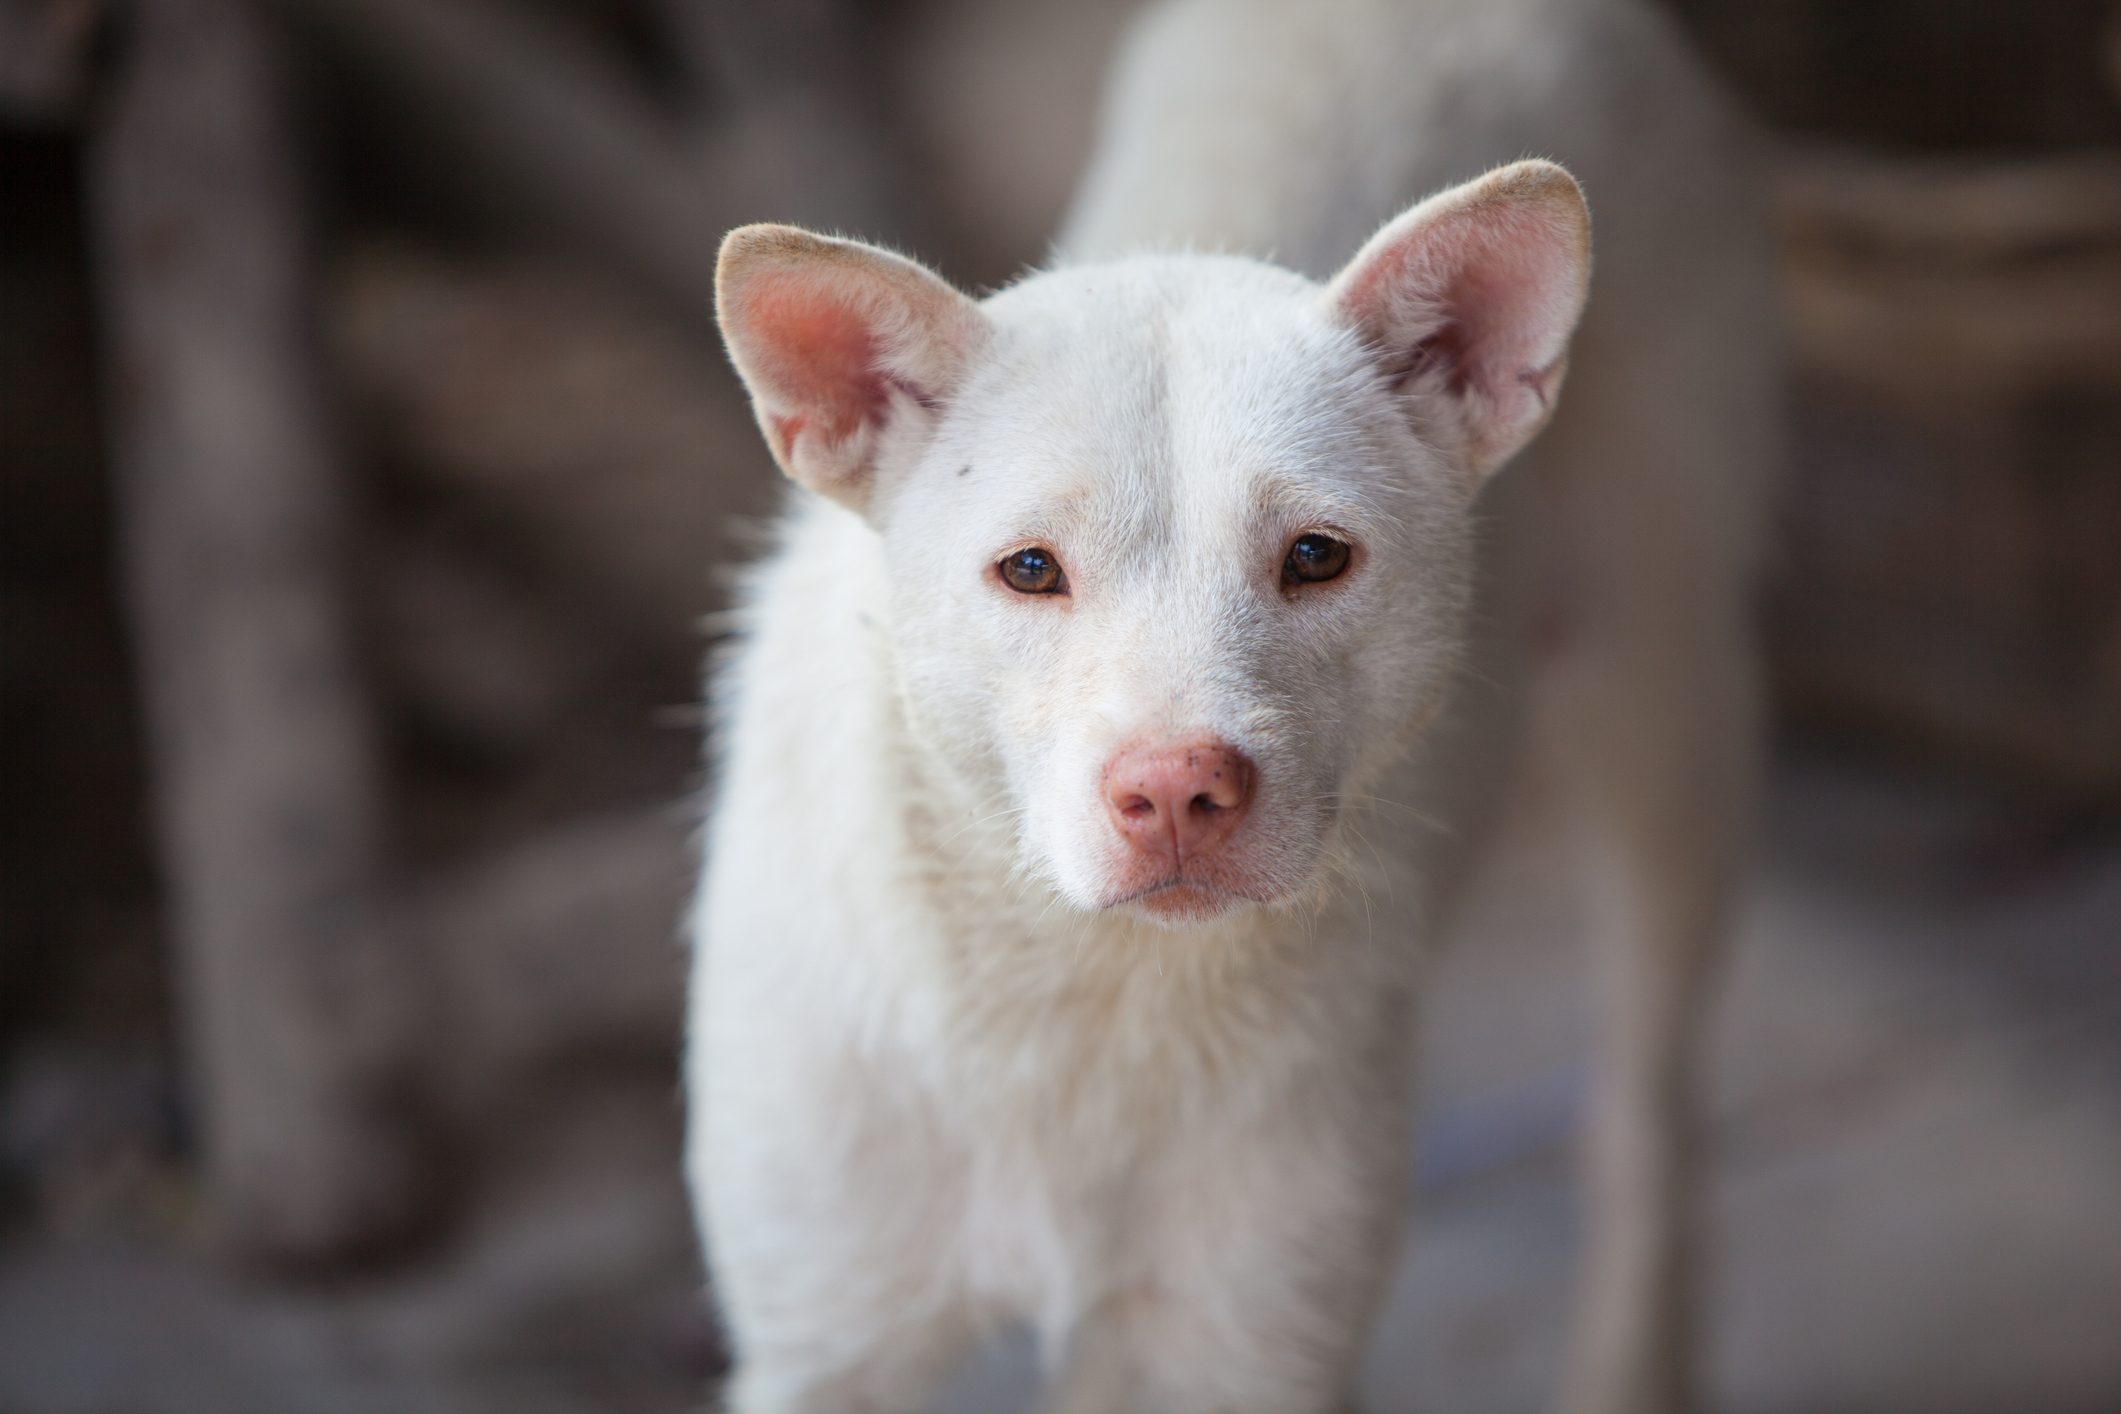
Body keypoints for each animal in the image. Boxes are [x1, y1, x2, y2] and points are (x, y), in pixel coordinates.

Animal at [682, 2, 1773, 1414]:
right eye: (1028, 569)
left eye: (1315, 557)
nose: (1175, 790)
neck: (1077, 991)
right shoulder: (824, 1340)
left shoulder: (1242, 1343)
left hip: (1670, 692)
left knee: (1648, 1110)